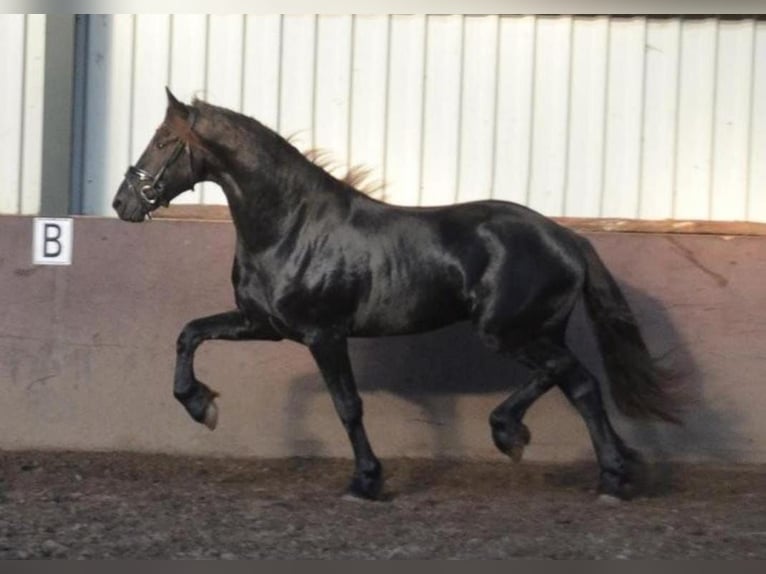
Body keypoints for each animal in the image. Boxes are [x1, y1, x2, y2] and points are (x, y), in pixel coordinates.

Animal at [111, 88, 680, 502]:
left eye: (161, 142)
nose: (122, 204)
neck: (291, 226)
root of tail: (568, 238)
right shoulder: (263, 325)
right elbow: (189, 334)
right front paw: (200, 405)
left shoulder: (323, 334)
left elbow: (347, 405)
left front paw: (365, 481)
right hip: (536, 330)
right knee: (574, 382)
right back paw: (597, 464)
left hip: (507, 332)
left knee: (572, 378)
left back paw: (577, 461)